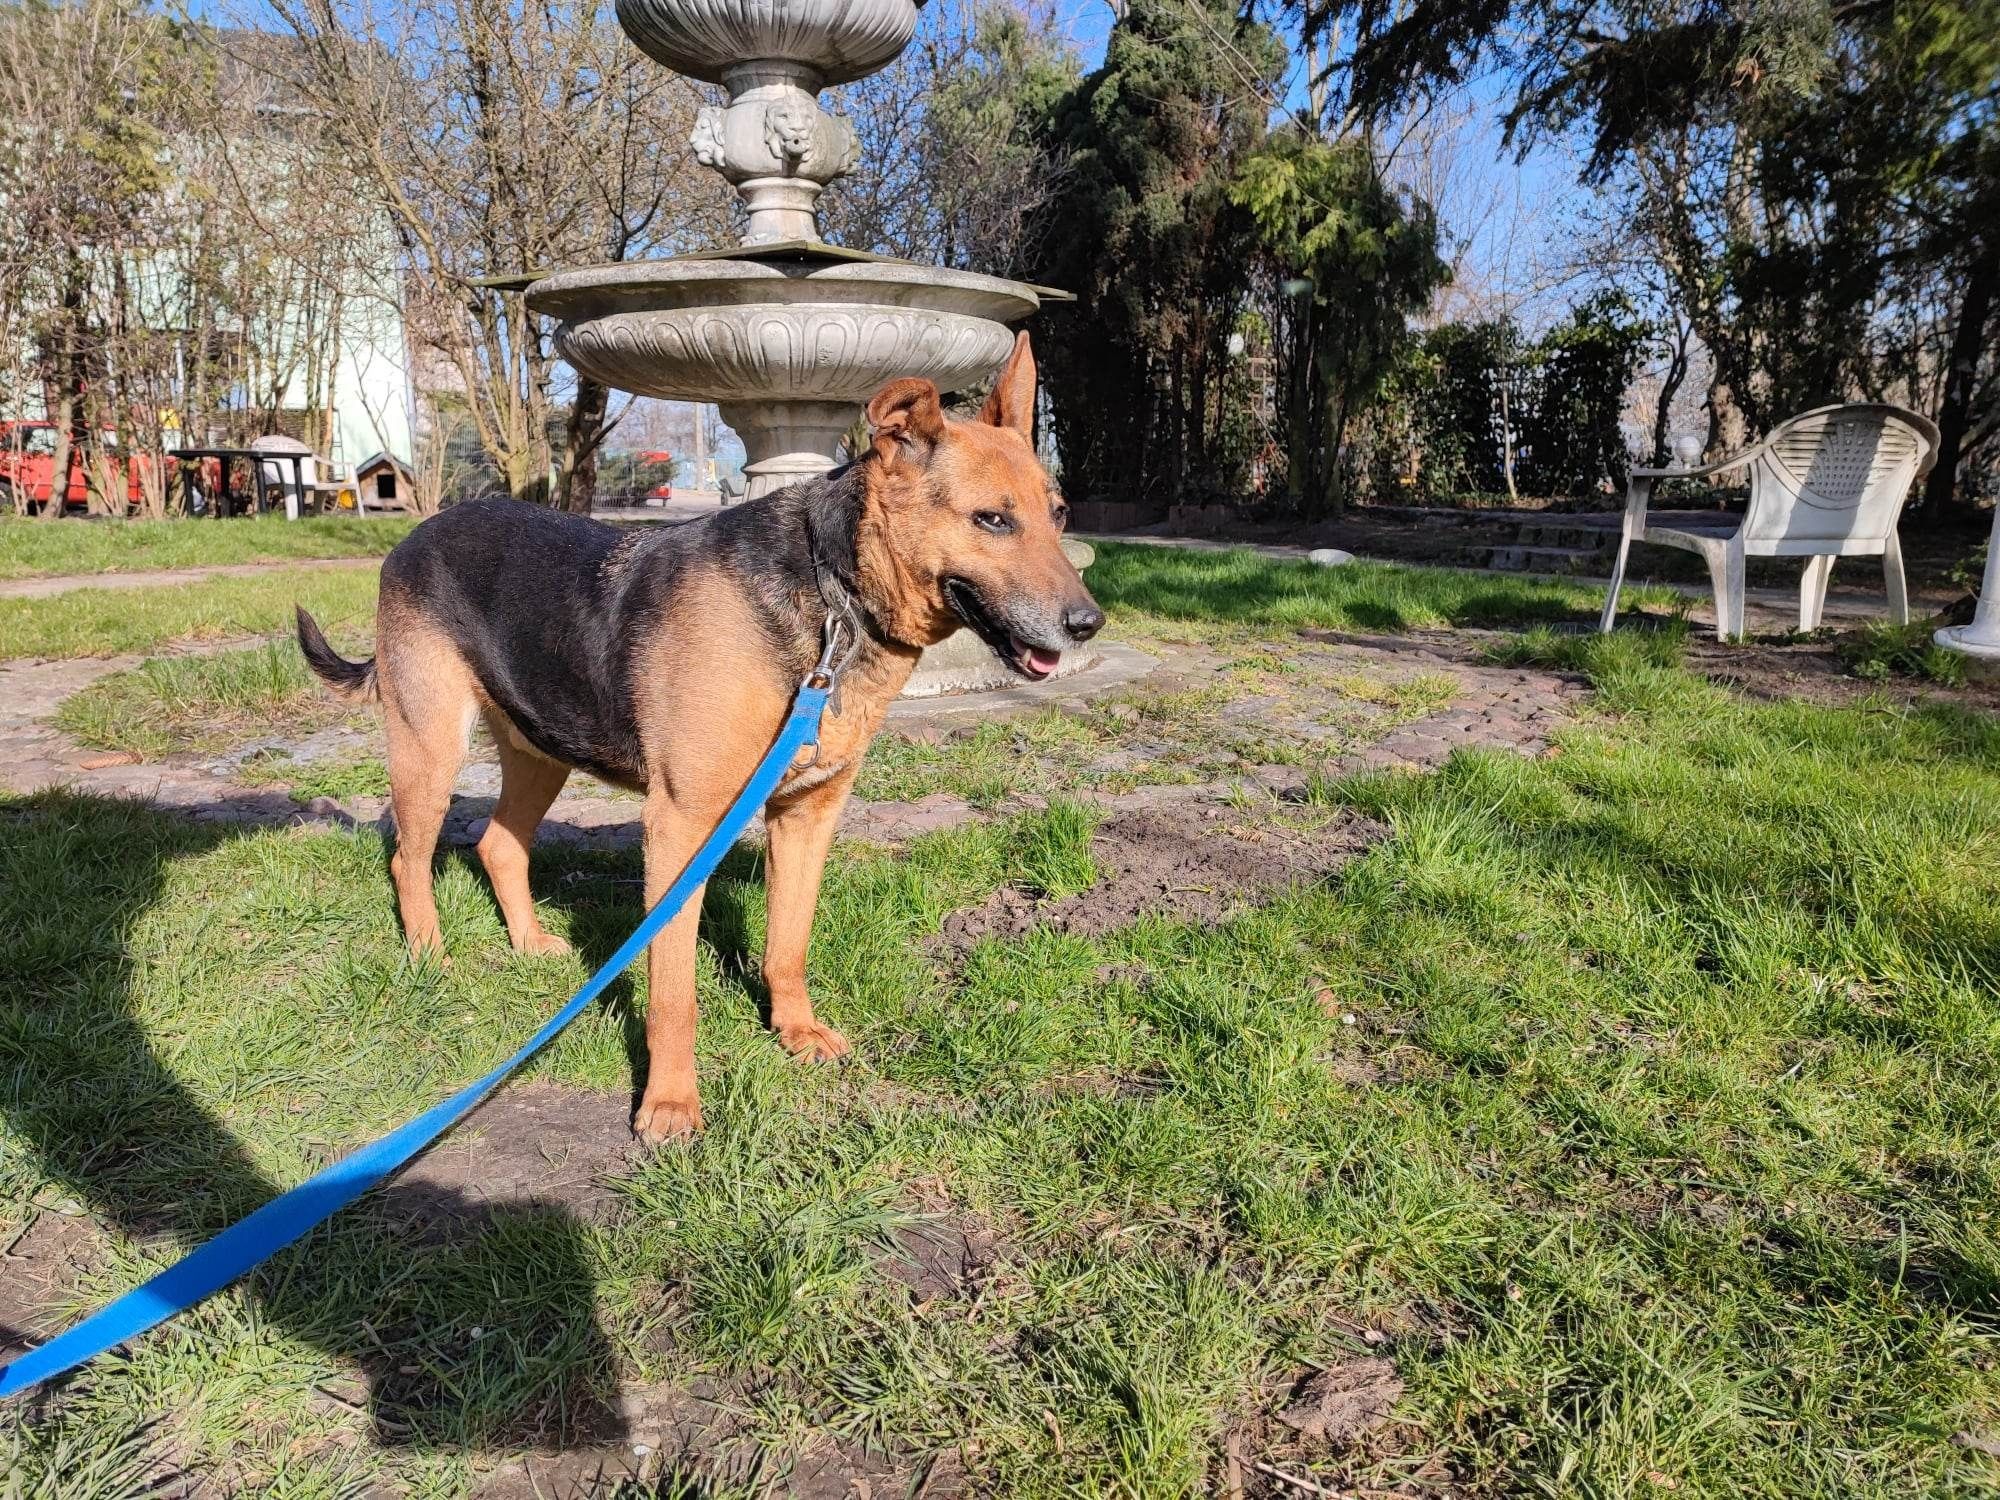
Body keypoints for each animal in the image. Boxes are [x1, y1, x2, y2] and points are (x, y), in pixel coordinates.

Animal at [296, 334, 1104, 1144]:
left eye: (1059, 512)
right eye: (992, 521)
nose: (1089, 624)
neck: (833, 595)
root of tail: (415, 534)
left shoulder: (807, 817)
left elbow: (788, 946)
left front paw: (795, 1032)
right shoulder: (680, 828)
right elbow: (674, 994)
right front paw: (670, 1103)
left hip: (541, 749)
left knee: (498, 844)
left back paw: (526, 944)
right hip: (430, 748)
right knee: (409, 859)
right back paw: (431, 956)